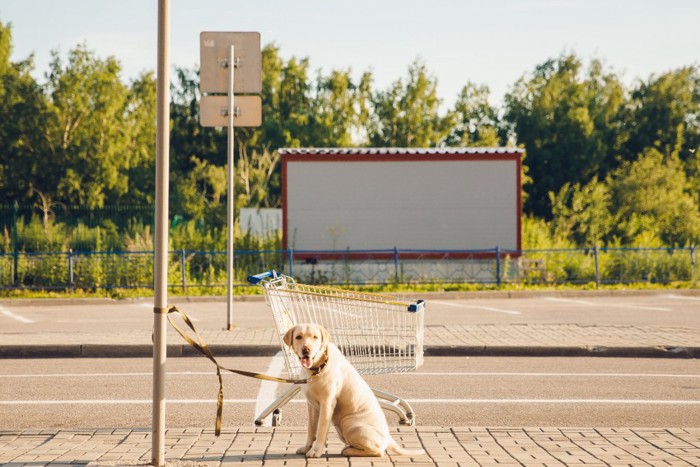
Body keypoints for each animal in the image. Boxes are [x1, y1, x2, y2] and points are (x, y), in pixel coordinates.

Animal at [282, 324, 424, 458]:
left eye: (315, 337)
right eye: (298, 337)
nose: (306, 349)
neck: (318, 368)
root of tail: (388, 438)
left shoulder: (327, 404)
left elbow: (321, 431)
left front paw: (315, 451)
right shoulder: (311, 406)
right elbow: (311, 429)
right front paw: (307, 447)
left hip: (349, 424)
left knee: (379, 452)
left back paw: (349, 450)